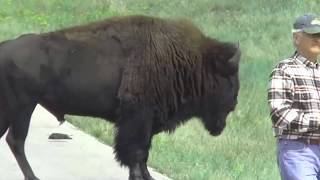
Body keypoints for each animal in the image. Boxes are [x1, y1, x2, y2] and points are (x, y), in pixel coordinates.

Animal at [0, 15, 240, 180]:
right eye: (228, 78)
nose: (234, 103)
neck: (185, 60)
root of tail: (5, 49)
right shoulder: (137, 119)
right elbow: (136, 152)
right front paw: (141, 176)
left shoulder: (145, 123)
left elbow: (143, 153)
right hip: (24, 107)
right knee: (16, 140)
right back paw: (33, 177)